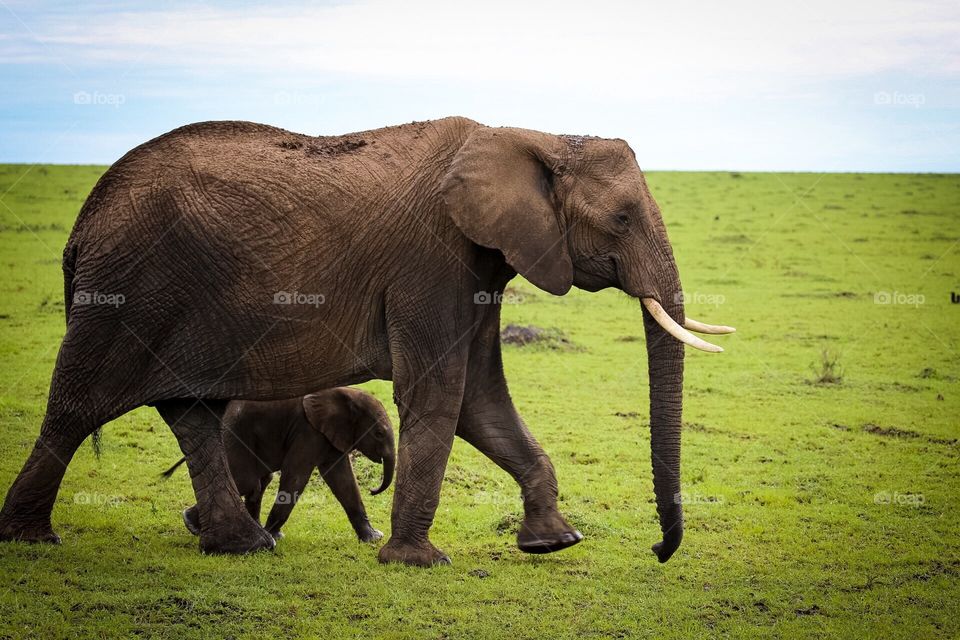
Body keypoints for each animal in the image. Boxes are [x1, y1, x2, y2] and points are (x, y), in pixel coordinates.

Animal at [162, 387, 395, 543]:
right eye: (379, 433)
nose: (373, 490)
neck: (349, 394)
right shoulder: (307, 431)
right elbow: (296, 477)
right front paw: (274, 536)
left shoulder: (331, 434)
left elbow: (343, 480)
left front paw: (373, 538)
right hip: (236, 435)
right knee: (246, 480)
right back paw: (191, 523)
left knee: (260, 482)